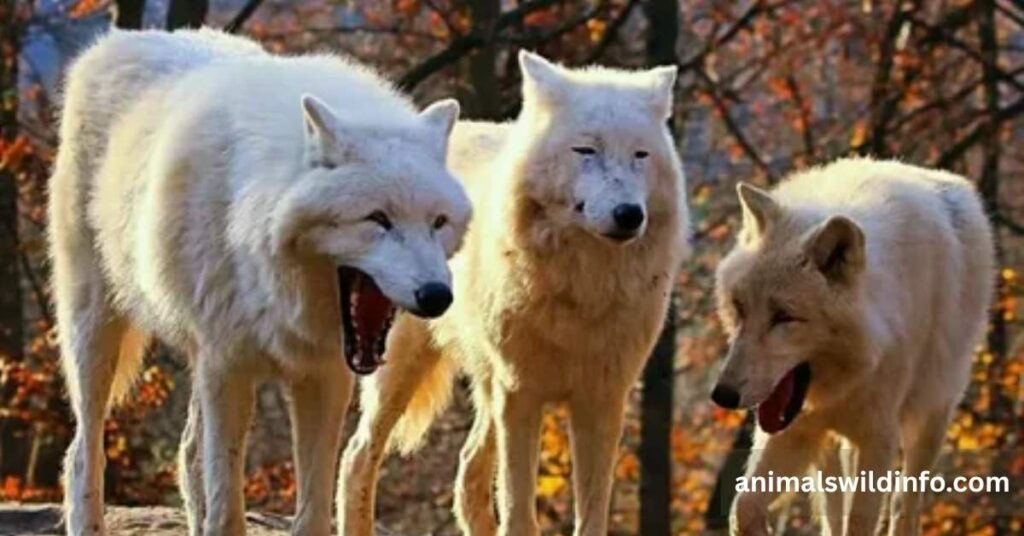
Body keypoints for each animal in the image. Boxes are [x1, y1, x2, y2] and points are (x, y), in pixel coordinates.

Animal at [48, 29, 470, 536]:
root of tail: (115, 41)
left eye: (438, 222)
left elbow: (311, 511)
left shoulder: (323, 376)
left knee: (188, 454)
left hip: (196, 359)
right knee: (82, 452)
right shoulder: (229, 367)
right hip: (96, 333)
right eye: (378, 219)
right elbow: (227, 510)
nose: (437, 296)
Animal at [336, 51, 691, 536]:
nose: (629, 214)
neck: (582, 289)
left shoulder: (603, 398)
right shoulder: (521, 392)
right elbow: (519, 506)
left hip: (487, 388)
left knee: (467, 471)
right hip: (404, 367)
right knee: (358, 456)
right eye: (586, 150)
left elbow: (591, 511)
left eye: (640, 155)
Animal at [710, 159, 993, 535]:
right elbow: (743, 509)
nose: (723, 395)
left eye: (784, 317)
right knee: (834, 514)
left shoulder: (878, 438)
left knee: (904, 507)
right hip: (831, 451)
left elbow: (861, 520)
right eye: (740, 307)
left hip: (929, 420)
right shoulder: (796, 428)